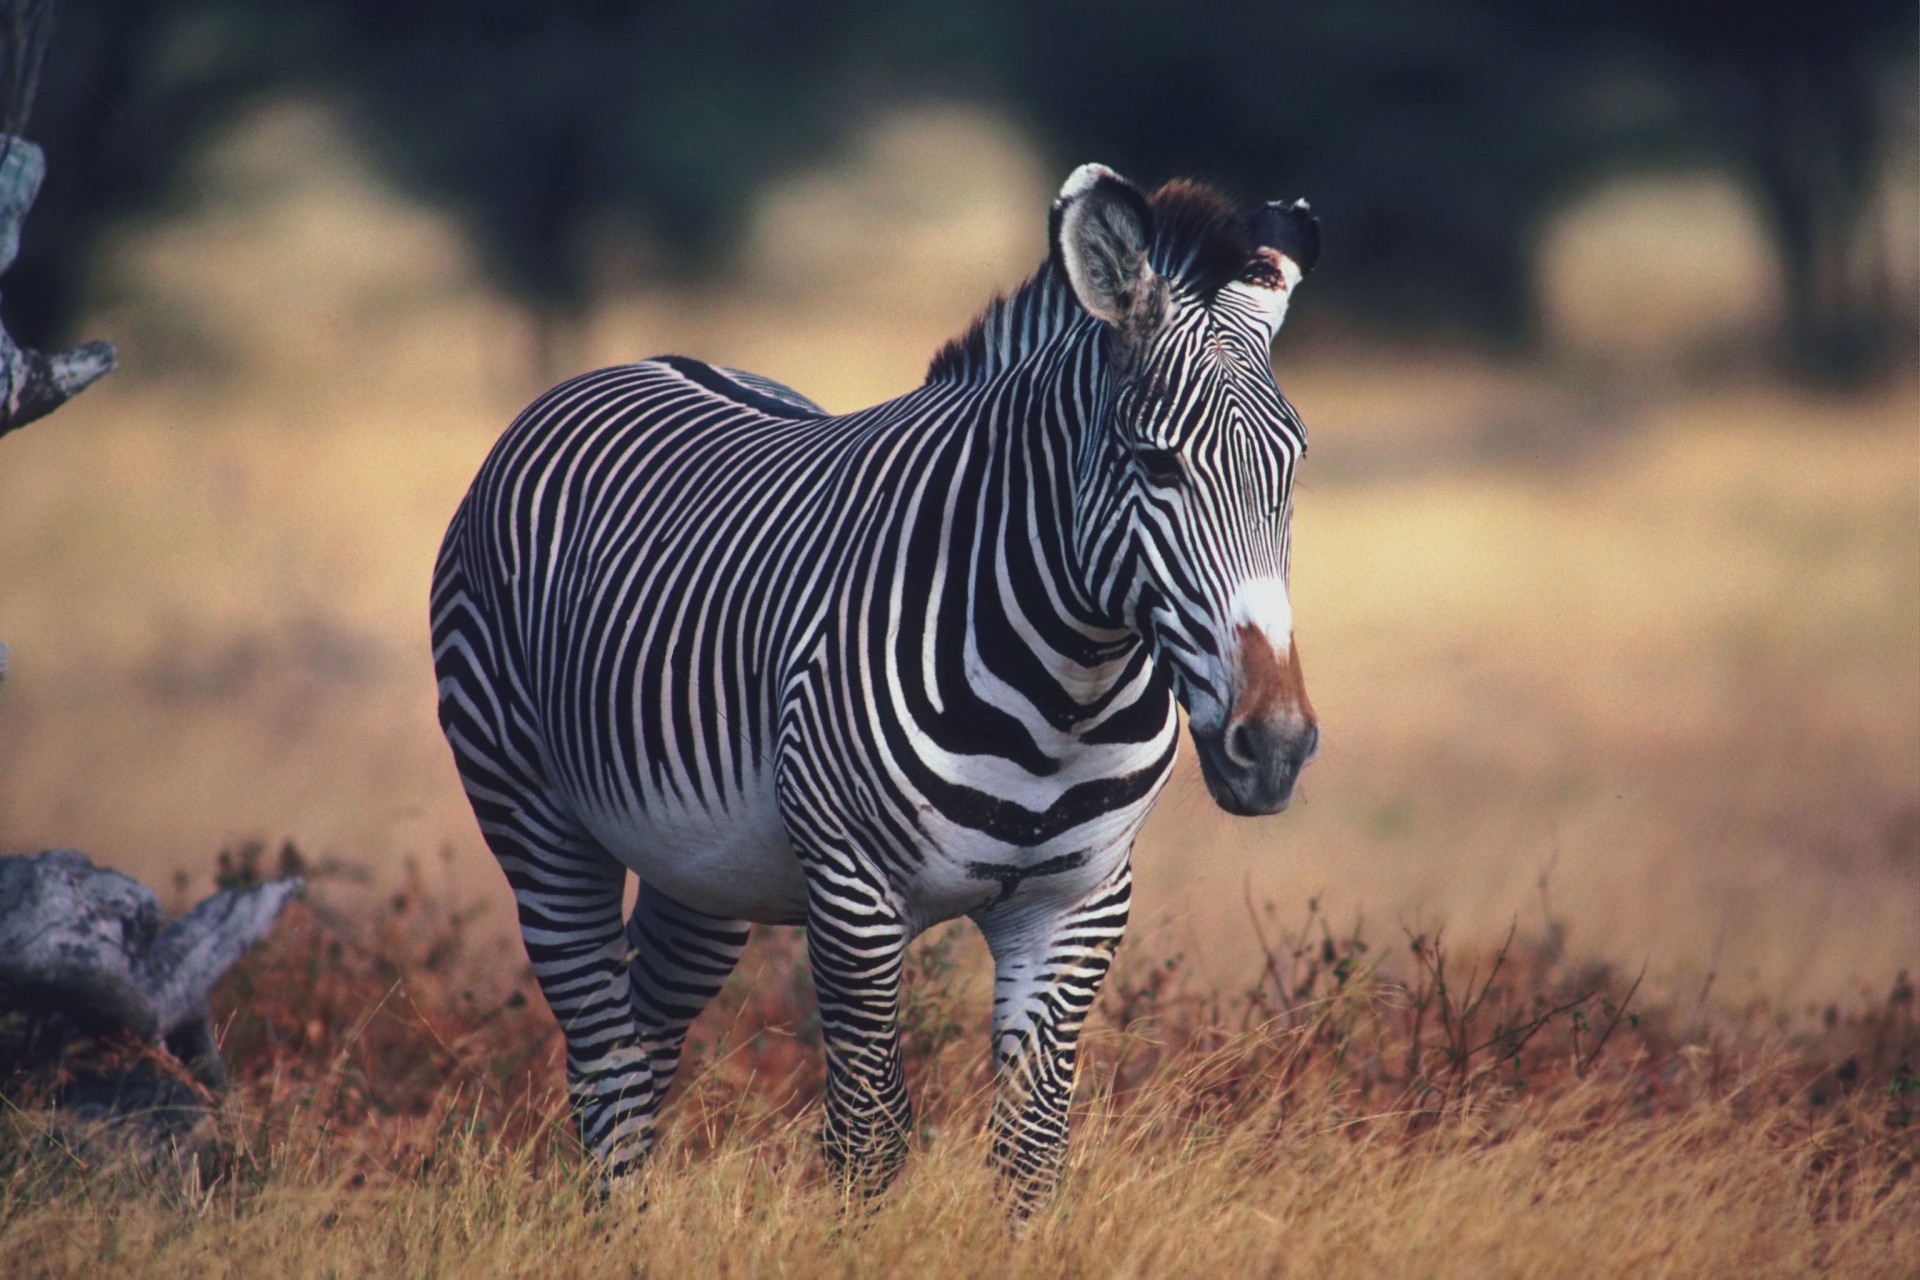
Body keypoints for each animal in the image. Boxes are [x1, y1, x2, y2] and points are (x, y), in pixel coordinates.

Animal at [430, 163, 1320, 1212]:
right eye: (1155, 461)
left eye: (1295, 467)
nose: (1275, 747)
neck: (1068, 686)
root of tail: (636, 363)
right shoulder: (856, 897)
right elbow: (868, 1141)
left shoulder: (1080, 905)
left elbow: (1031, 1149)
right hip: (534, 816)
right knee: (601, 1053)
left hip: (701, 869)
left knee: (644, 1037)